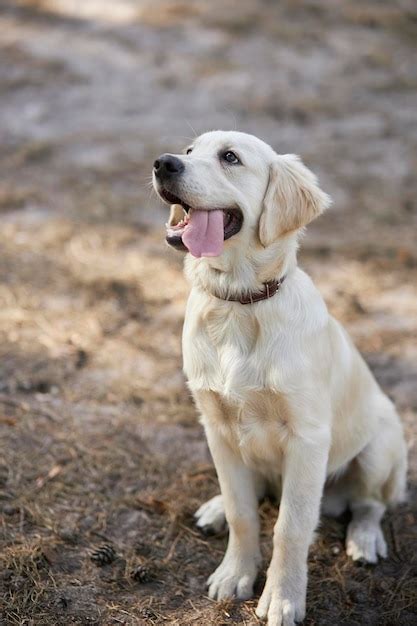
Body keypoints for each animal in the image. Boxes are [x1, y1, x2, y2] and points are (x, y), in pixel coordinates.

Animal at [151, 129, 404, 620]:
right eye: (189, 151)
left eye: (230, 157)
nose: (163, 163)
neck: (237, 302)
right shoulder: (216, 424)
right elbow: (242, 511)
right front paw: (235, 574)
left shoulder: (307, 438)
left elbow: (291, 526)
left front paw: (283, 598)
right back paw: (213, 507)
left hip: (381, 445)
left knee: (370, 503)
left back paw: (364, 539)